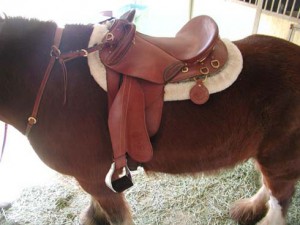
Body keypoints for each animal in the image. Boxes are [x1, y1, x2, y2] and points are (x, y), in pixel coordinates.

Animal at [0, 14, 298, 225]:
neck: (50, 77)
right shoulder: (94, 178)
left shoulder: (91, 176)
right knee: (270, 188)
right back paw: (249, 209)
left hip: (279, 155)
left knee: (279, 199)